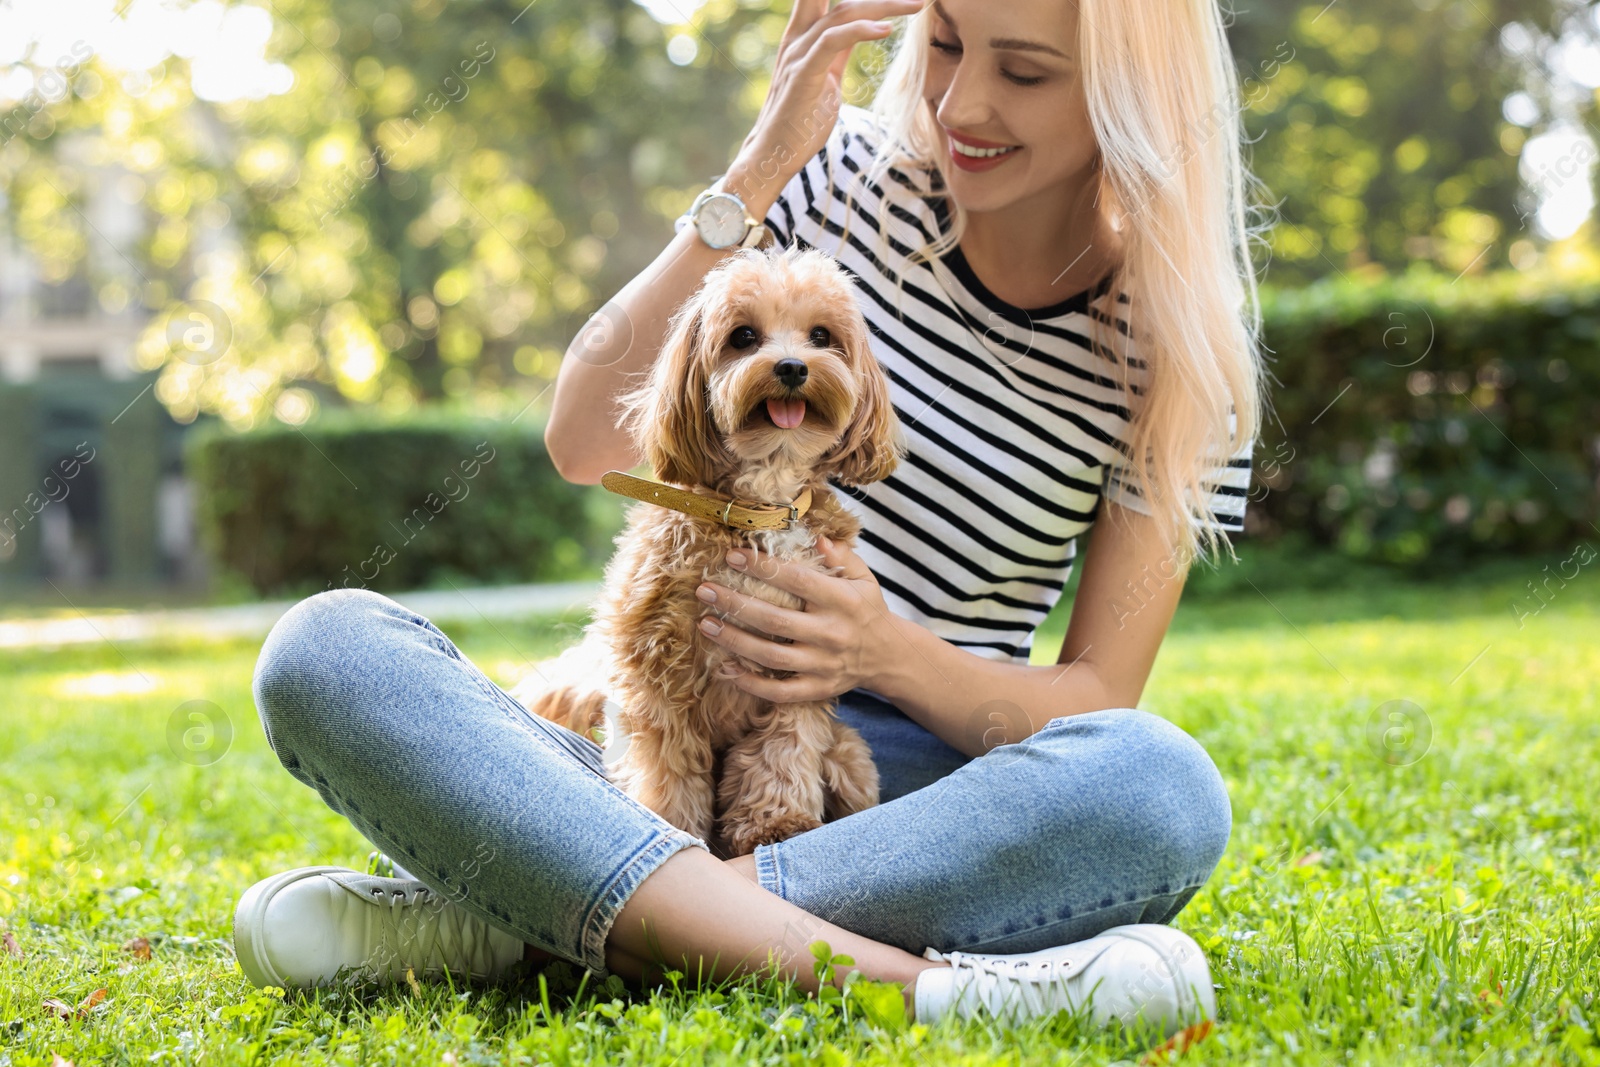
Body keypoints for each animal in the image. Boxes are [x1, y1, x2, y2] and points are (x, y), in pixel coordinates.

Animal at [524, 246, 902, 857]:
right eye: (744, 337)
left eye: (821, 336)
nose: (792, 367)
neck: (760, 503)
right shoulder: (655, 670)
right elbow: (669, 765)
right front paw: (672, 825)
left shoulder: (802, 667)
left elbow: (784, 748)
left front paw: (776, 823)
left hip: (851, 758)